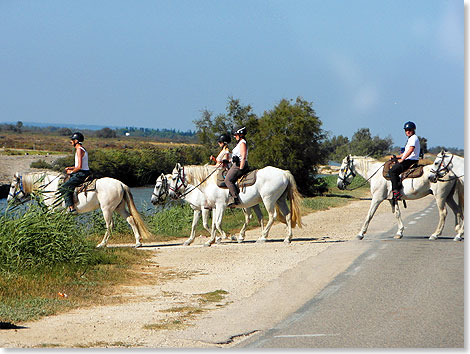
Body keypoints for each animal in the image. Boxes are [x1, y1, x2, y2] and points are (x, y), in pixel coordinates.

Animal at [7, 171, 151, 248]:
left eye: (13, 186)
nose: (8, 200)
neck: (49, 187)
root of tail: (121, 184)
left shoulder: (52, 212)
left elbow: (52, 226)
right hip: (118, 208)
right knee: (131, 219)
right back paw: (138, 242)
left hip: (107, 209)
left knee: (109, 225)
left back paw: (102, 244)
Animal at [167, 163, 302, 246]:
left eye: (174, 178)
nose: (171, 194)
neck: (210, 182)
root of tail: (284, 173)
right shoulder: (214, 207)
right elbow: (213, 224)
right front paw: (211, 240)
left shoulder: (220, 205)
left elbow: (217, 223)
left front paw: (227, 236)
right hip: (280, 199)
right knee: (288, 215)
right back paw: (288, 238)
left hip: (268, 200)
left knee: (271, 216)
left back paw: (262, 237)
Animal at [336, 155, 464, 241]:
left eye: (342, 169)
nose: (339, 185)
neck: (376, 174)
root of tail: (451, 173)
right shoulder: (392, 199)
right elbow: (397, 214)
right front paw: (399, 232)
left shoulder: (377, 198)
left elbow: (369, 215)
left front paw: (361, 234)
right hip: (448, 197)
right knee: (457, 211)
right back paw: (459, 233)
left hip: (440, 197)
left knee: (443, 213)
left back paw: (435, 234)